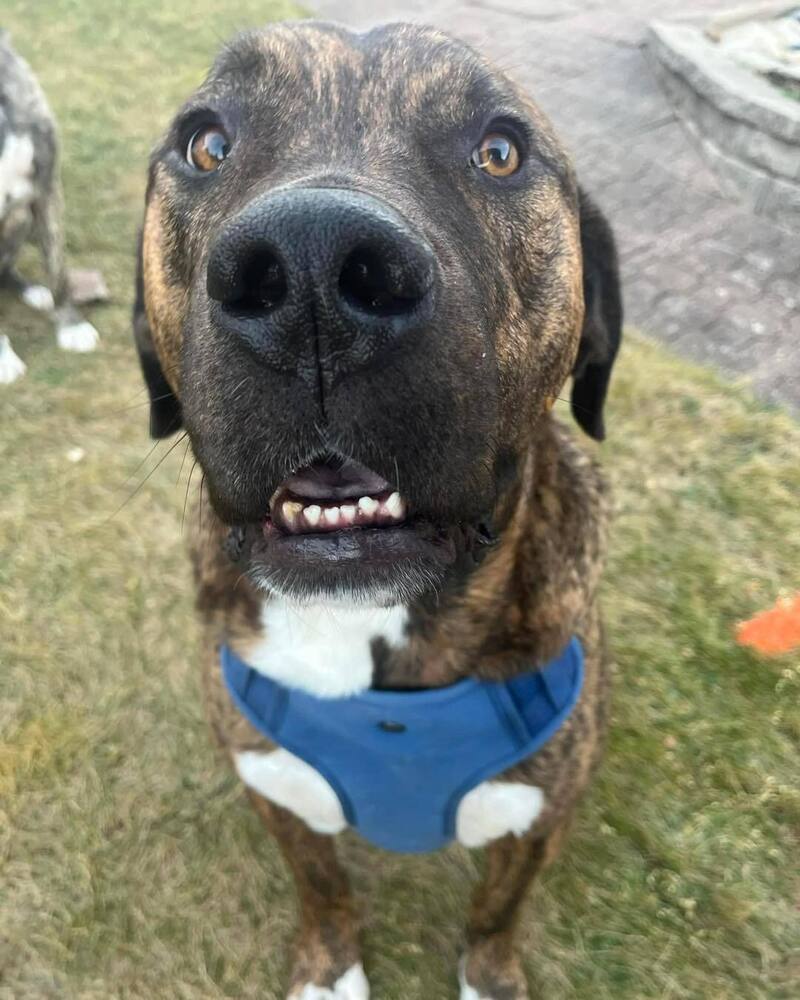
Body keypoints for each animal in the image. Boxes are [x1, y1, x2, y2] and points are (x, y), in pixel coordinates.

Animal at [0, 30, 100, 382]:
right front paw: (3, 360)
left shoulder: (46, 188)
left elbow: (59, 270)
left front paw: (72, 326)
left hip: (20, 217)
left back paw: (33, 291)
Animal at [134, 23, 624, 1000]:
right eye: (206, 143)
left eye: (500, 151)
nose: (310, 266)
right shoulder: (274, 788)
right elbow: (322, 887)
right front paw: (330, 967)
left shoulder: (537, 817)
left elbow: (494, 915)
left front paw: (489, 976)